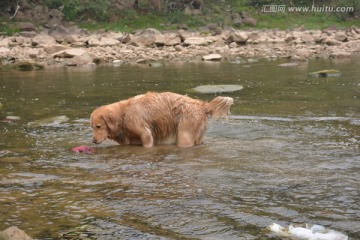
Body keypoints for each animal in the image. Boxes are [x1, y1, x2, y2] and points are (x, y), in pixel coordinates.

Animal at [90, 92, 233, 147]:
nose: (94, 141)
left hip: (185, 132)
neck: (123, 114)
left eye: (99, 126)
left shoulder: (143, 131)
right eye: (92, 127)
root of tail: (201, 105)